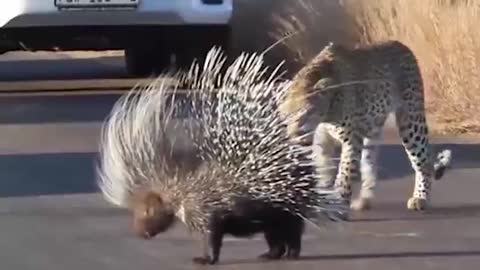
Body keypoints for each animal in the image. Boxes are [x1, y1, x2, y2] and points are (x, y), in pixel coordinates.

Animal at [278, 40, 454, 213]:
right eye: (285, 119)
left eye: (304, 115)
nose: (295, 137)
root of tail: (402, 45)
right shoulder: (322, 142)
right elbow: (323, 169)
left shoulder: (351, 139)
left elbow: (344, 173)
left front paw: (338, 201)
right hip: (372, 130)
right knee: (369, 165)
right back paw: (364, 201)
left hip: (410, 121)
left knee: (423, 162)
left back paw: (420, 198)